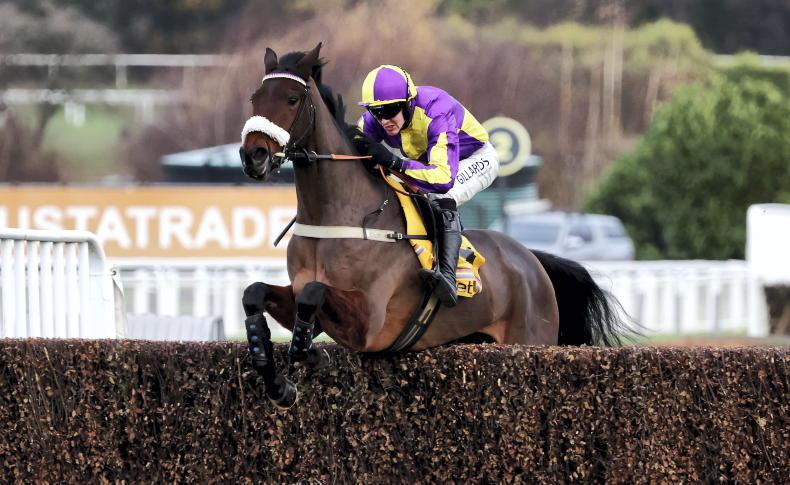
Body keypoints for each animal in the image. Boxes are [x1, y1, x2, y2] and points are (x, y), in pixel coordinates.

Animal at [239, 43, 624, 408]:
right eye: (255, 98)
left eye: (292, 99)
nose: (252, 155)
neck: (338, 216)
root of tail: (532, 259)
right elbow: (255, 292)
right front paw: (277, 379)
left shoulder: (370, 325)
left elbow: (313, 294)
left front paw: (310, 353)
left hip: (529, 339)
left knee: (446, 198)